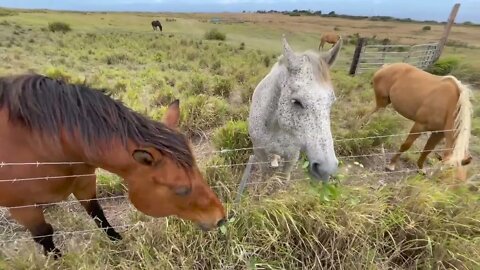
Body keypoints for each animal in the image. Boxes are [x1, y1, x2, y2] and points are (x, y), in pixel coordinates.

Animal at [0, 73, 227, 258]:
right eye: (181, 189)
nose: (221, 218)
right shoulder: (23, 208)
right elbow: (44, 234)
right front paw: (57, 259)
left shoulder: (84, 182)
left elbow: (98, 214)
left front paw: (117, 240)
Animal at [249, 34, 344, 182]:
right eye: (296, 101)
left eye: (331, 102)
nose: (327, 169)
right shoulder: (260, 152)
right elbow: (265, 176)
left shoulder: (292, 157)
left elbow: (284, 178)